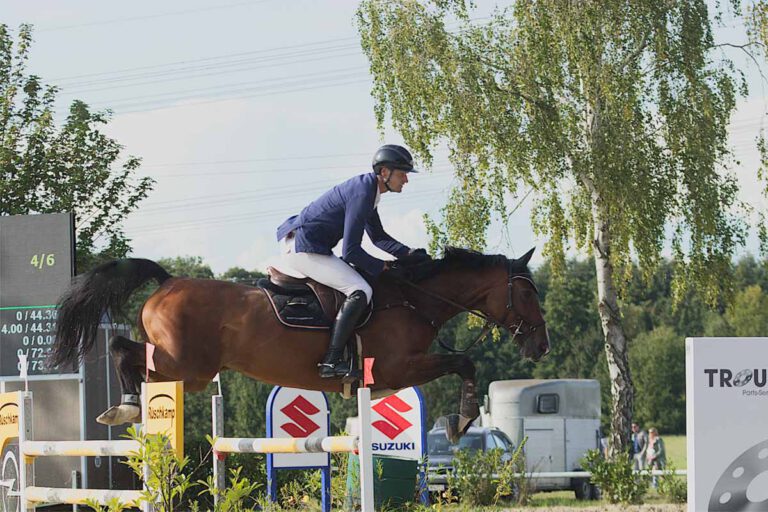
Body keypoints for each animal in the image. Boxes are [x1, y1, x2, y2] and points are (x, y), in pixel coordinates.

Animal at [51, 247, 548, 440]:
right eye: (527, 293)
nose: (541, 346)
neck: (414, 298)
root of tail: (168, 281)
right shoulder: (397, 367)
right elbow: (464, 363)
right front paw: (462, 421)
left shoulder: (390, 375)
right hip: (187, 369)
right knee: (124, 350)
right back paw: (126, 407)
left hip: (182, 369)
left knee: (128, 353)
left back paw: (128, 407)